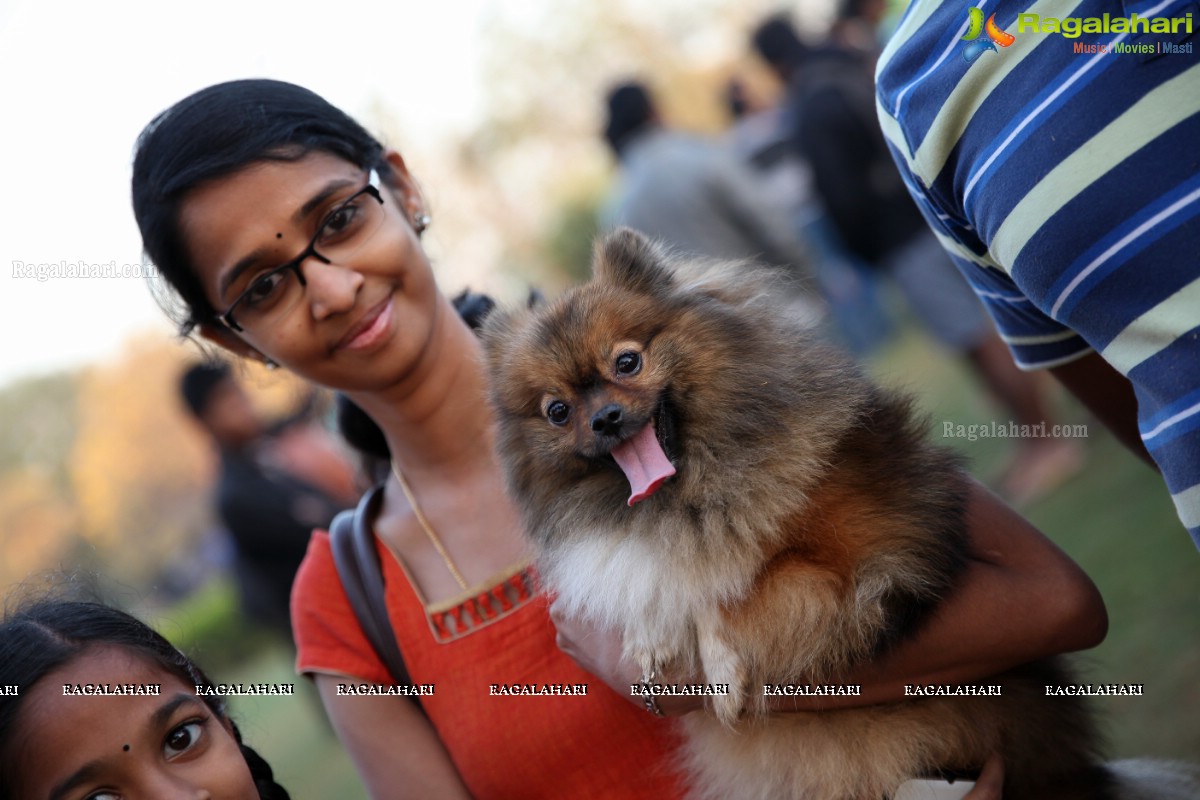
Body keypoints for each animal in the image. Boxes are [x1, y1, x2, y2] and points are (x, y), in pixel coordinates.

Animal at [482, 226, 1195, 800]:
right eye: (557, 411)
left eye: (627, 362)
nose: (603, 419)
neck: (686, 495)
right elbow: (662, 583)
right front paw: (651, 638)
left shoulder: (856, 565)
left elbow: (734, 589)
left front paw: (718, 666)